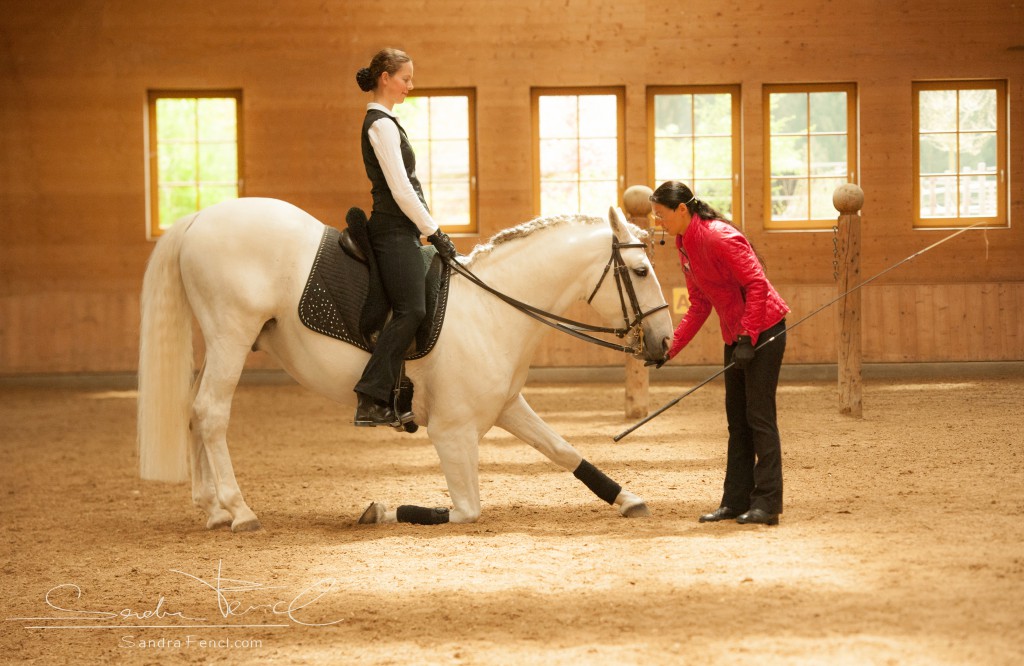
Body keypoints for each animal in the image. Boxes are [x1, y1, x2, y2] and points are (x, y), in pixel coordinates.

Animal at [140, 196, 675, 528]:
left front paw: (627, 498)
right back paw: (239, 511)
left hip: (220, 342)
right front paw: (376, 510)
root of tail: (199, 219)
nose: (665, 341)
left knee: (193, 411)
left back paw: (213, 510)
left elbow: (564, 451)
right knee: (211, 413)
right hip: (232, 335)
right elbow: (465, 510)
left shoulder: (506, 407)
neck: (491, 309)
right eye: (640, 270)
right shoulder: (452, 433)